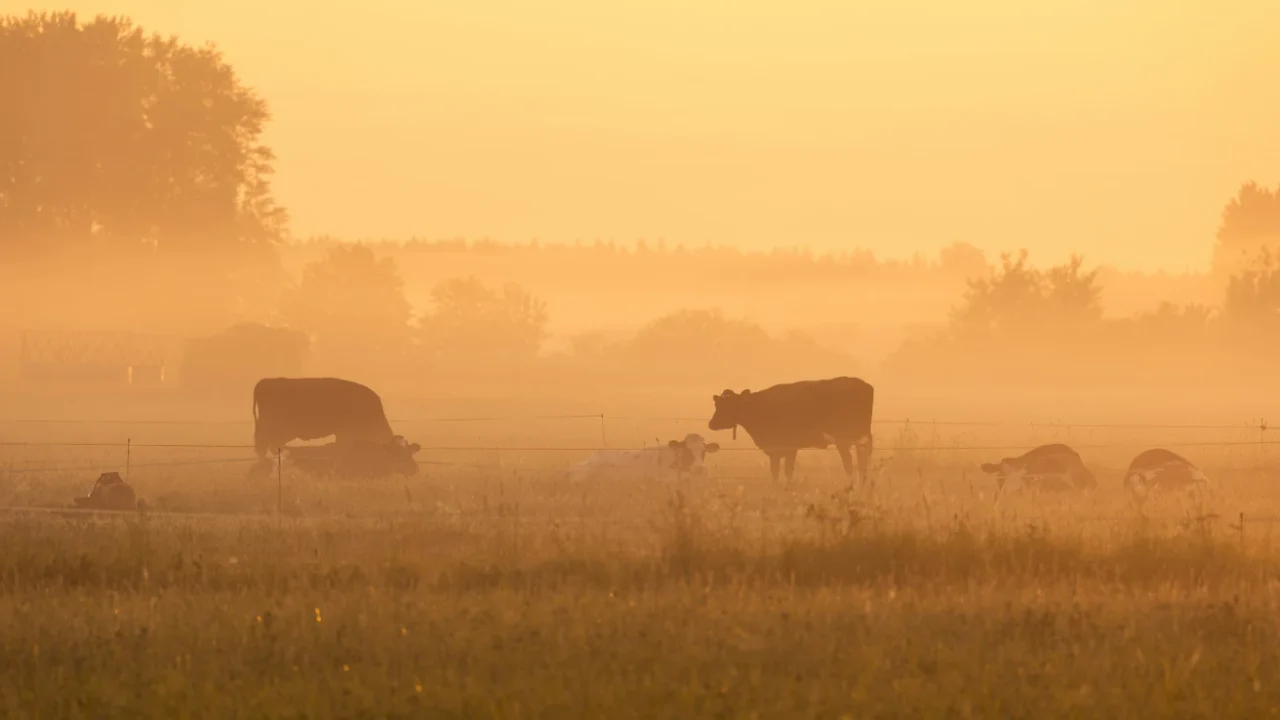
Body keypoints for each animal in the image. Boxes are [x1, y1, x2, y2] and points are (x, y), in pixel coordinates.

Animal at [252, 376, 422, 476]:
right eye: (398, 454)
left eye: (410, 451)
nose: (414, 469)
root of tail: (264, 381)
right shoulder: (345, 433)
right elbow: (340, 451)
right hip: (271, 427)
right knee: (262, 447)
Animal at [706, 376, 875, 481]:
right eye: (717, 404)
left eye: (728, 406)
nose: (711, 424)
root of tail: (863, 384)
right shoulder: (779, 449)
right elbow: (778, 472)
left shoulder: (787, 447)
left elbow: (784, 472)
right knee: (862, 463)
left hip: (844, 439)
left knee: (850, 464)